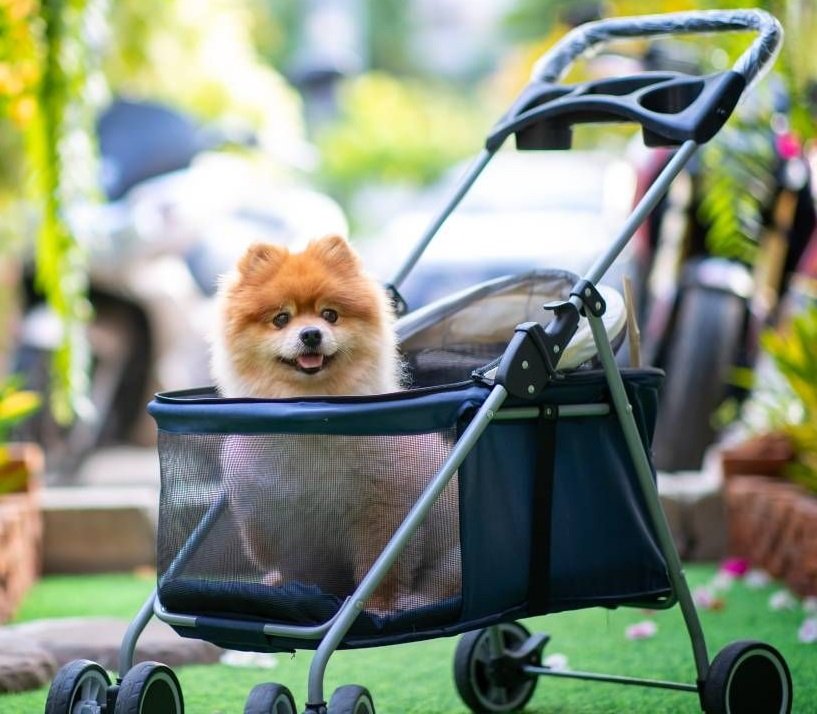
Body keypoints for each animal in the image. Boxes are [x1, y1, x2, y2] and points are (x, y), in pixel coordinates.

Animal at [210, 236, 460, 616]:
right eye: (281, 319)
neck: (312, 413)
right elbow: (297, 565)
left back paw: (417, 601)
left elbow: (380, 566)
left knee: (446, 583)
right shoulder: (280, 517)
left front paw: (378, 606)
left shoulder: (384, 509)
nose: (311, 334)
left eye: (330, 314)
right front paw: (298, 593)